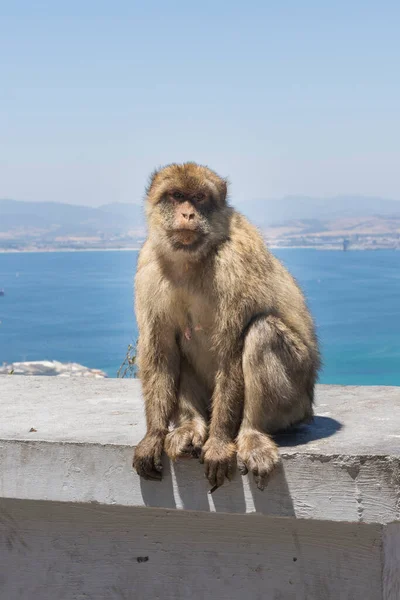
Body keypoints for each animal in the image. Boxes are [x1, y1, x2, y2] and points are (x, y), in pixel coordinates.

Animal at [133, 162, 320, 490]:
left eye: (198, 197)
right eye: (177, 195)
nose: (188, 214)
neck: (193, 260)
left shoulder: (234, 265)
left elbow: (229, 353)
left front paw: (219, 443)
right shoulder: (149, 268)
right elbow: (160, 352)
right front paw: (153, 436)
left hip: (296, 402)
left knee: (262, 331)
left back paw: (251, 434)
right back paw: (191, 425)